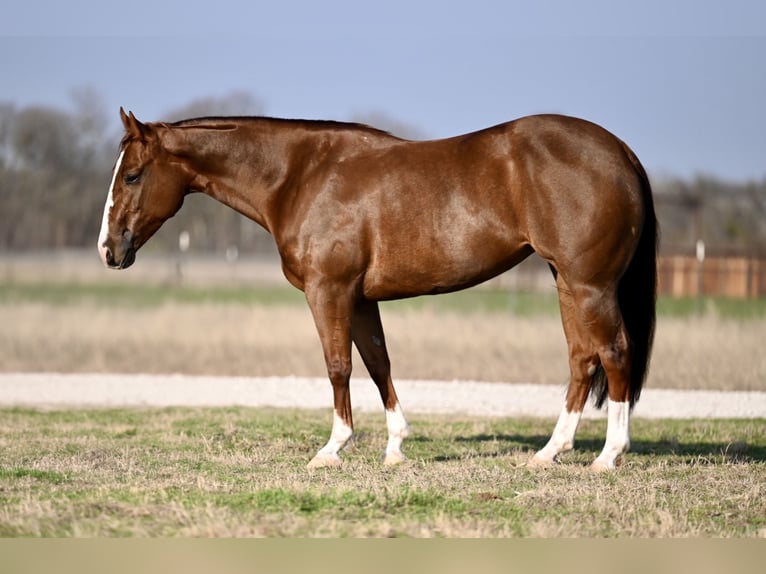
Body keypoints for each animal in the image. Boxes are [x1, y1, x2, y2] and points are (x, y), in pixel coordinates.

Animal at [97, 108, 660, 472]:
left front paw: (332, 448)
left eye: (132, 175)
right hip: (566, 283)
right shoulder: (362, 299)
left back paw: (608, 457)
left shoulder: (328, 292)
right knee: (581, 358)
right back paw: (549, 452)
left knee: (613, 352)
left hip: (590, 286)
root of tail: (621, 151)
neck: (300, 176)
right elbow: (377, 363)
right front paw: (395, 448)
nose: (108, 249)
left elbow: (338, 366)